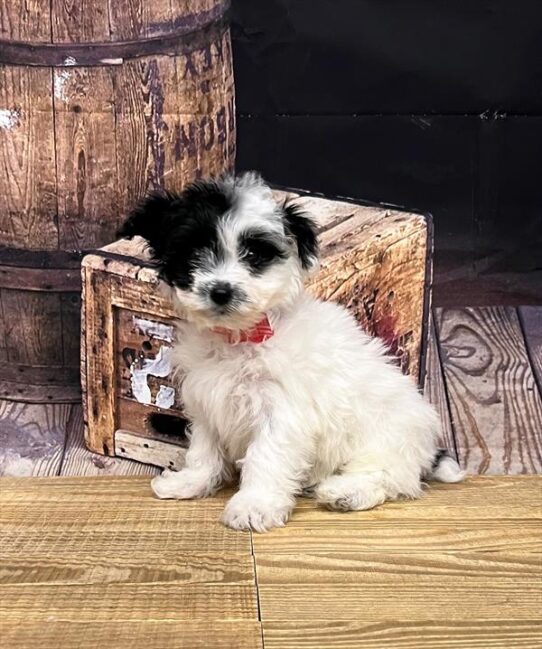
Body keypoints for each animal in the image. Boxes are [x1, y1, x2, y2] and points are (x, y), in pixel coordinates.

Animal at [118, 173, 464, 532]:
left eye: (254, 255)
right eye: (193, 252)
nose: (221, 291)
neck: (241, 337)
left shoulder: (282, 411)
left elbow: (266, 455)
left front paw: (254, 506)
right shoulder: (206, 401)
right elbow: (204, 449)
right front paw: (191, 482)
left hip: (388, 433)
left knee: (390, 475)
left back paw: (346, 492)